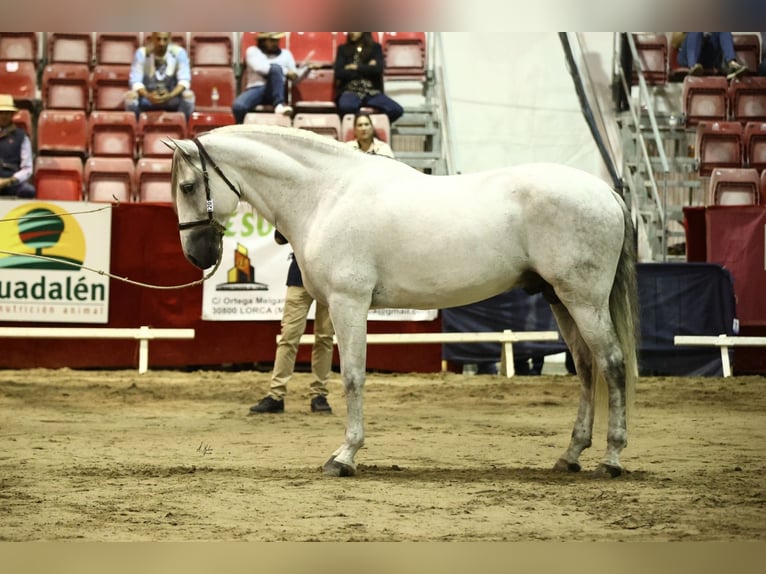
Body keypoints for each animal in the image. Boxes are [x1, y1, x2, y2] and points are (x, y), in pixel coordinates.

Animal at [168, 125, 640, 482]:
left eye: (189, 186)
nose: (197, 255)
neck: (327, 193)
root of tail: (607, 193)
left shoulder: (349, 303)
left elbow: (353, 377)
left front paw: (345, 456)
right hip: (560, 299)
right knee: (586, 367)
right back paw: (571, 455)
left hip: (584, 299)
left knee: (612, 364)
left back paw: (611, 459)